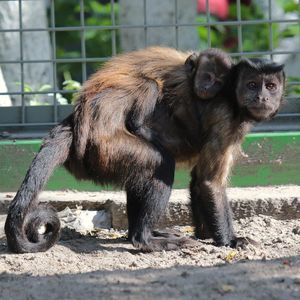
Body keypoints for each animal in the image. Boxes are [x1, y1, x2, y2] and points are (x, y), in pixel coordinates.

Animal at [5, 47, 286, 253]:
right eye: (252, 85)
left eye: (270, 86)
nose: (262, 97)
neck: (231, 97)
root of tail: (76, 121)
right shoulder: (225, 118)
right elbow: (209, 183)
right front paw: (230, 240)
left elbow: (198, 181)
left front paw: (207, 234)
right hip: (104, 147)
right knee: (160, 163)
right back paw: (144, 239)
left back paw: (144, 232)